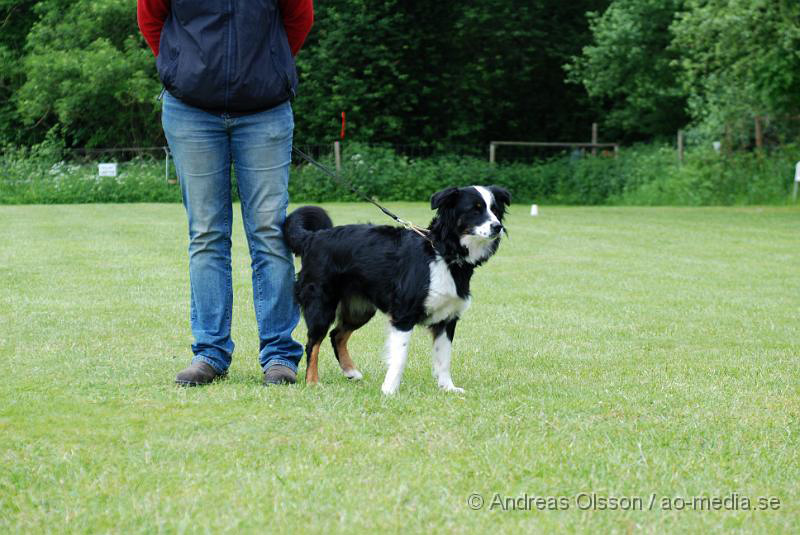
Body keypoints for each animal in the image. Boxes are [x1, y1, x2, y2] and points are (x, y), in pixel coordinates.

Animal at [282, 186, 506, 396]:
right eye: (475, 209)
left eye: (495, 210)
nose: (498, 226)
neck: (443, 254)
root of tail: (313, 237)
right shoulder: (403, 316)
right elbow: (400, 357)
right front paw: (389, 390)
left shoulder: (447, 319)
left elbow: (444, 358)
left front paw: (447, 388)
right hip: (321, 303)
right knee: (313, 343)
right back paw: (312, 381)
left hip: (360, 309)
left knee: (337, 335)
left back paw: (350, 371)